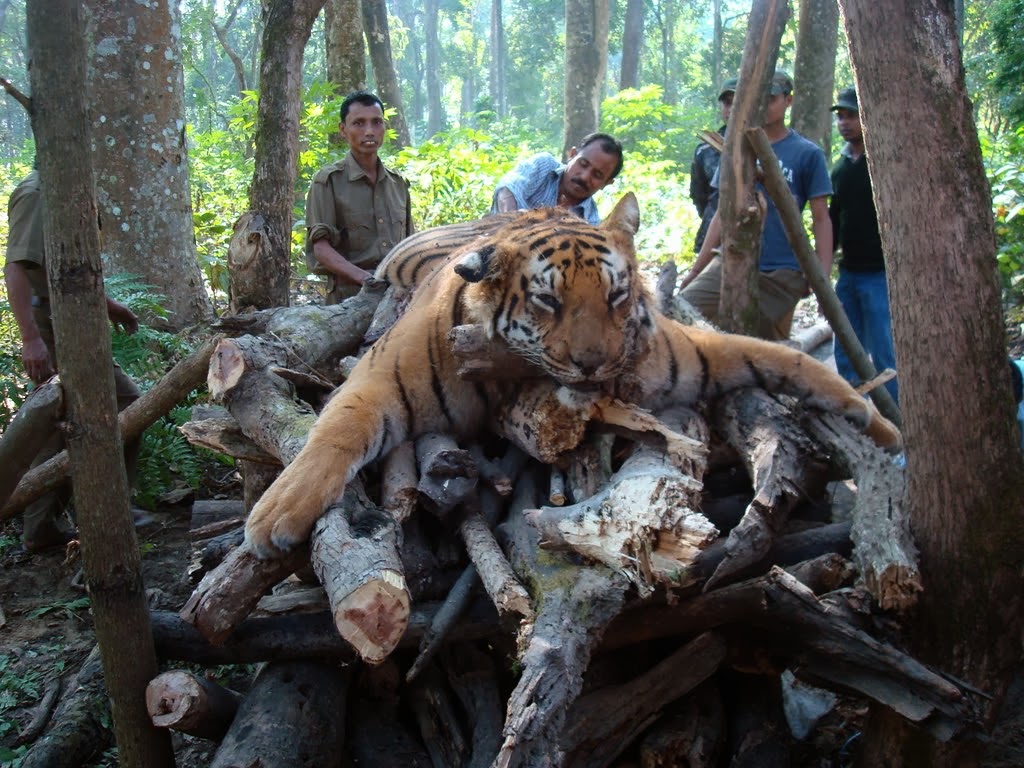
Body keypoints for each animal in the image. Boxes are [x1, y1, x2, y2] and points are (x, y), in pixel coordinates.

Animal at [243, 193, 901, 561]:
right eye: (548, 301)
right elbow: (337, 430)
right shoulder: (380, 376)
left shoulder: (686, 354)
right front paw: (277, 515)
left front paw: (877, 424)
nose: (593, 362)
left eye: (614, 296)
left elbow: (782, 357)